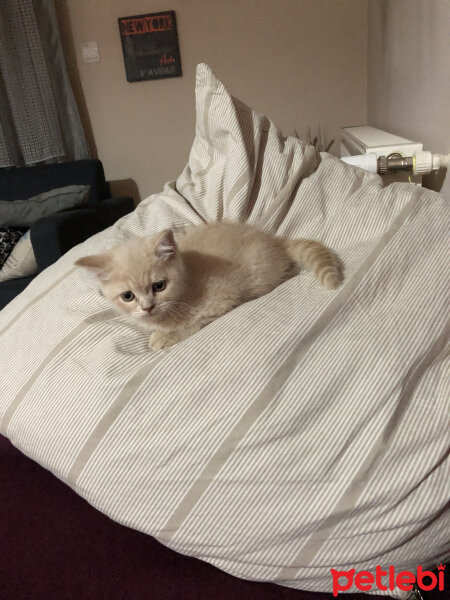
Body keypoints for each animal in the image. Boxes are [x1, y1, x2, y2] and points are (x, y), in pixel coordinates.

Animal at [76, 221, 342, 350]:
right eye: (128, 296)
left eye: (159, 286)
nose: (148, 307)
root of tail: (275, 241)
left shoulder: (221, 297)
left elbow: (192, 324)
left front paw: (162, 338)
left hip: (260, 275)